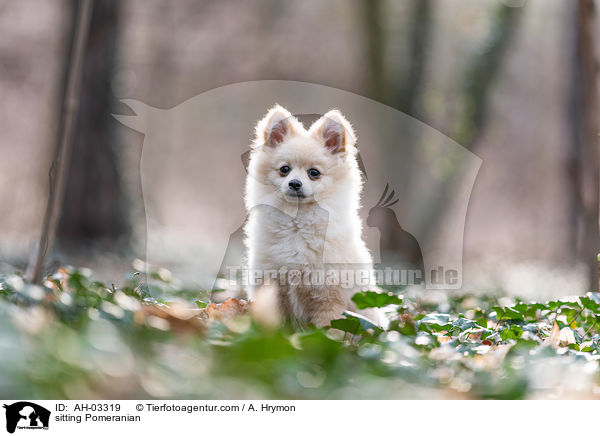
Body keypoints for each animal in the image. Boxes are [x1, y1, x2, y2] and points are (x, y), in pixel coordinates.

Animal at [243, 105, 384, 328]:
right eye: (284, 169)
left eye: (314, 173)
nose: (294, 183)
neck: (297, 224)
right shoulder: (272, 290)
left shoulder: (329, 300)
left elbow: (326, 329)